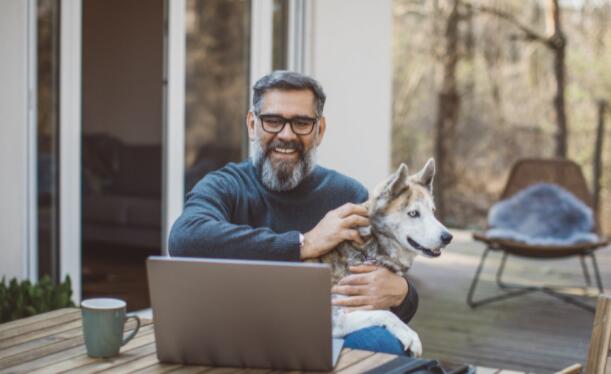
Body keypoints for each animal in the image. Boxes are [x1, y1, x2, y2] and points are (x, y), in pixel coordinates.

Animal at [308, 159, 452, 356]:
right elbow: (385, 313)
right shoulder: (334, 317)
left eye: (433, 211)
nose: (448, 237)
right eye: (413, 213)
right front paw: (410, 335)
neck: (368, 251)